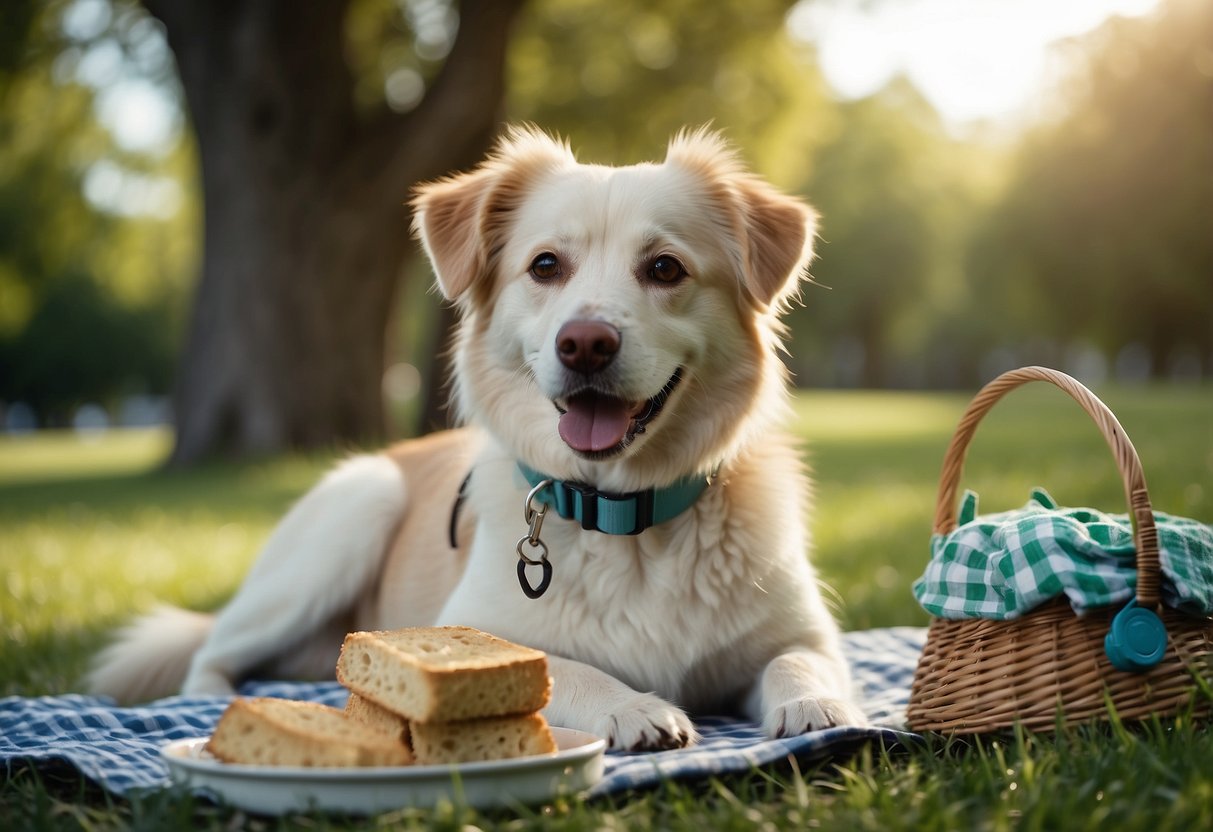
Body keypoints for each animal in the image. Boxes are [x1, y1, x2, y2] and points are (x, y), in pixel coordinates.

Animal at [89, 127, 868, 751]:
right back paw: (215, 697)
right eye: (546, 265)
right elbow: (562, 666)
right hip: (348, 519)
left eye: (665, 268)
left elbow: (799, 659)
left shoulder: (802, 632)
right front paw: (634, 708)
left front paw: (815, 705)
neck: (622, 521)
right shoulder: (468, 623)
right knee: (210, 653)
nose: (585, 344)